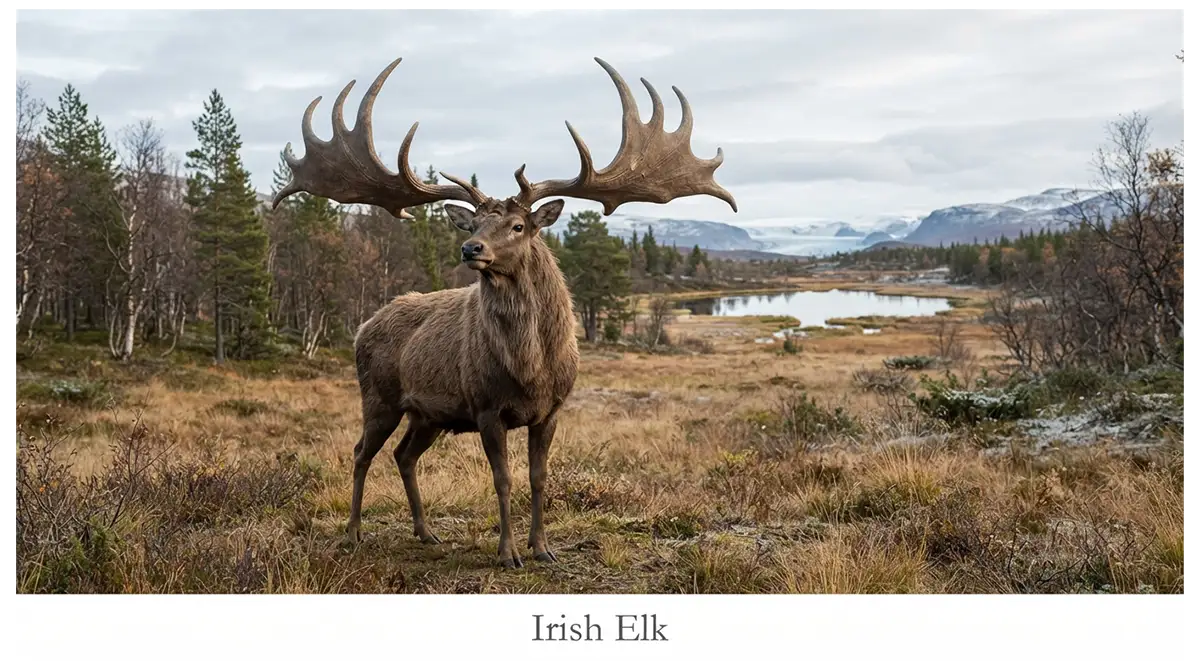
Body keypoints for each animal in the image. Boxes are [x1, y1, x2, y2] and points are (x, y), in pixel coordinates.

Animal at [272, 56, 736, 568]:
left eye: (518, 225)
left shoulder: (551, 410)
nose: (470, 248)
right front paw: (508, 552)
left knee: (403, 456)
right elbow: (503, 479)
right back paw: (354, 531)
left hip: (427, 415)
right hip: (379, 397)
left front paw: (543, 548)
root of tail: (362, 327)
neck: (530, 368)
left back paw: (426, 532)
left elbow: (538, 478)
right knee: (360, 452)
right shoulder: (486, 408)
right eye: (472, 223)